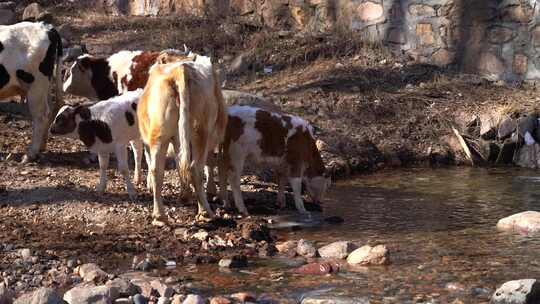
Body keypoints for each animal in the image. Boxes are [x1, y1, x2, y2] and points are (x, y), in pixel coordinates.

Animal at [0, 22, 63, 162]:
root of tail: (45, 27)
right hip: (44, 87)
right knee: (49, 111)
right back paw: (41, 146)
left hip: (36, 87)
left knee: (40, 116)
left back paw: (30, 154)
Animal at [137, 53, 228, 224]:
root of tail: (179, 70)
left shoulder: (177, 139)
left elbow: (180, 163)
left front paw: (185, 195)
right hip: (201, 132)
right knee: (195, 168)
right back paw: (206, 212)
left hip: (160, 135)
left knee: (157, 170)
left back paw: (159, 216)